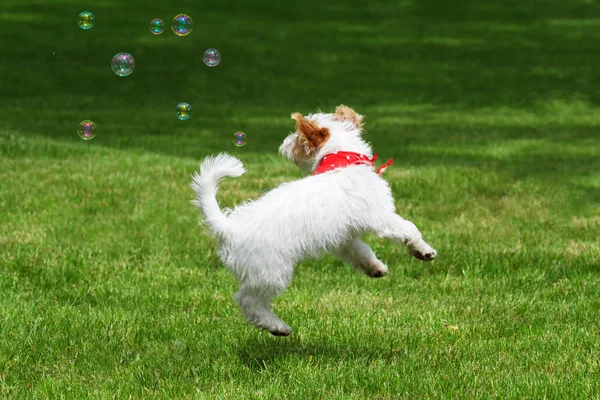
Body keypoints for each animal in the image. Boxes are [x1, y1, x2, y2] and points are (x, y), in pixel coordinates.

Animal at [191, 104, 436, 336]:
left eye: (298, 137)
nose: (283, 144)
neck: (342, 161)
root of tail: (228, 226)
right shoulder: (382, 217)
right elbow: (409, 229)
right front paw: (424, 251)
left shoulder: (344, 239)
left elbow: (361, 252)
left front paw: (375, 267)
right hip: (271, 273)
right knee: (247, 300)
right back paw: (277, 326)